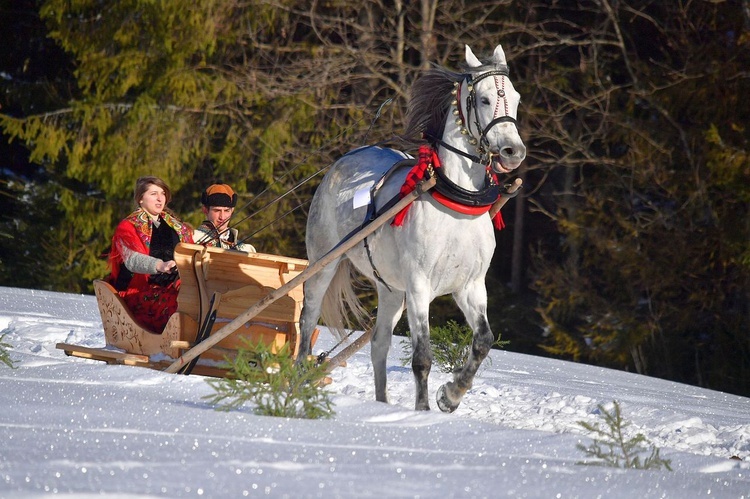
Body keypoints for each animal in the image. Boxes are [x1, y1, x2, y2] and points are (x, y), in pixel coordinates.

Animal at [296, 43, 524, 412]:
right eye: (485, 99)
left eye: (515, 98)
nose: (513, 151)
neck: (456, 204)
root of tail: (346, 159)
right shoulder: (419, 285)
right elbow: (422, 358)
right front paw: (423, 412)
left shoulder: (471, 285)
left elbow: (483, 341)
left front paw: (451, 395)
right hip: (324, 263)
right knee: (308, 317)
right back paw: (298, 378)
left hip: (390, 289)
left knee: (378, 343)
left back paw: (381, 403)